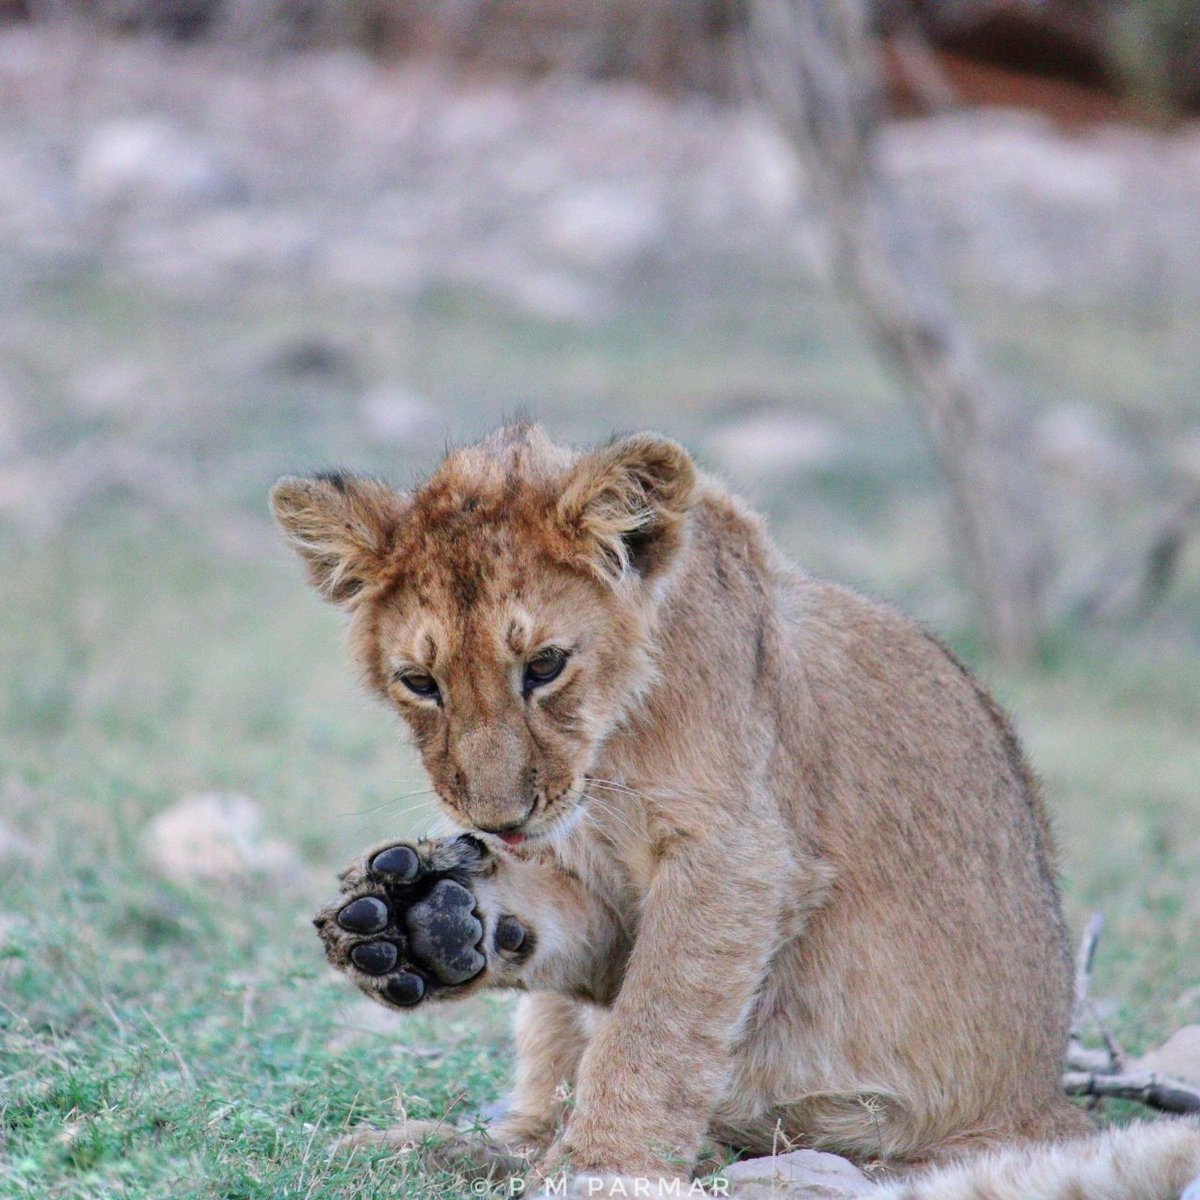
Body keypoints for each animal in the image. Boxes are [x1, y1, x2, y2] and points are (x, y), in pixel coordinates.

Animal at [271, 424, 1200, 1197]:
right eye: (419, 682)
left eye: (545, 665)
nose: (498, 821)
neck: (612, 751)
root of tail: (1048, 1098)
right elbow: (598, 965)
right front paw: (419, 921)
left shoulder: (740, 858)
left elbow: (656, 1025)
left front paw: (604, 1167)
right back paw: (437, 1131)